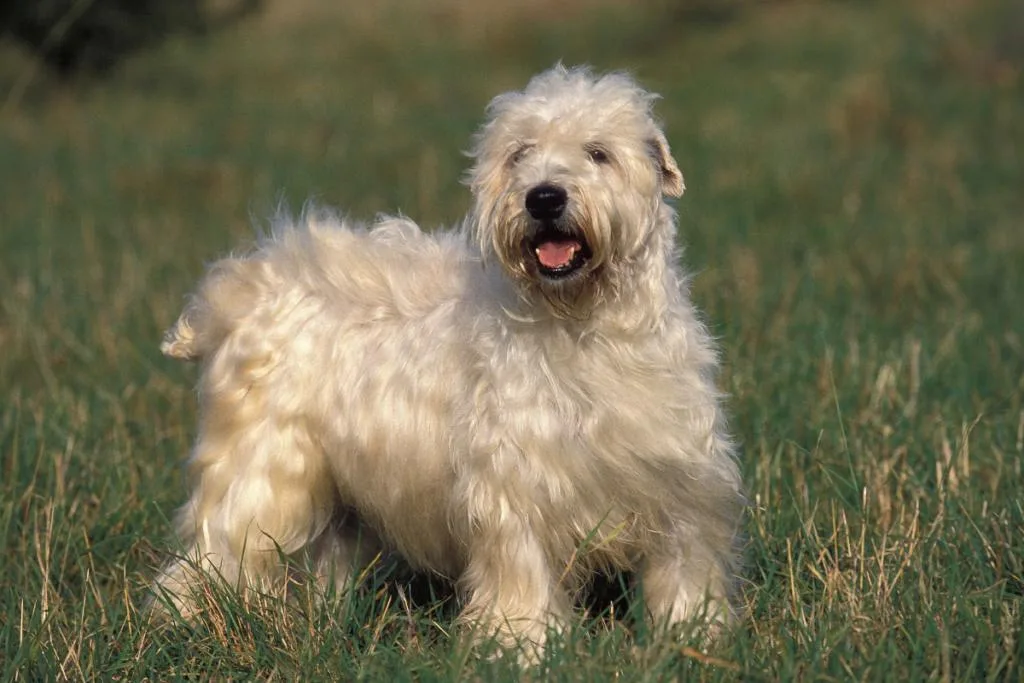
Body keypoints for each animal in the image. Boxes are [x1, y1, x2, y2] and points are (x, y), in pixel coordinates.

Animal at [153, 66, 745, 655]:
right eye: (519, 154)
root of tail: (243, 285)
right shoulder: (514, 488)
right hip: (262, 472)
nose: (544, 197)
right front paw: (522, 644)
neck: (587, 328)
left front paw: (694, 635)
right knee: (213, 553)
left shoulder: (680, 485)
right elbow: (522, 572)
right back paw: (192, 624)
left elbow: (684, 568)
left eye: (598, 152)